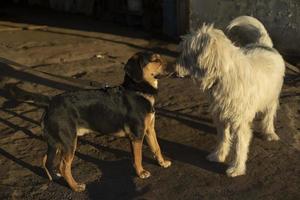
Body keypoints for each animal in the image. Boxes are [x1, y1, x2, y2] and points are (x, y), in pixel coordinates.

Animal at [41, 52, 171, 192]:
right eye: (155, 60)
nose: (174, 66)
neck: (138, 91)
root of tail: (49, 107)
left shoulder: (149, 129)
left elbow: (157, 148)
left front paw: (162, 163)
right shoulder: (137, 135)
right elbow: (138, 157)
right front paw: (141, 172)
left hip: (56, 143)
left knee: (46, 160)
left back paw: (54, 176)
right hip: (68, 141)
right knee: (63, 166)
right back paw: (75, 186)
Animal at [177, 24, 284, 177]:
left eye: (186, 50)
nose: (176, 67)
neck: (224, 75)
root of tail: (264, 44)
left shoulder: (239, 122)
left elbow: (239, 146)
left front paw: (237, 168)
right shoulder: (220, 116)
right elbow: (223, 138)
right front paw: (218, 156)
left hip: (271, 99)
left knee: (268, 117)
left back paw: (269, 133)